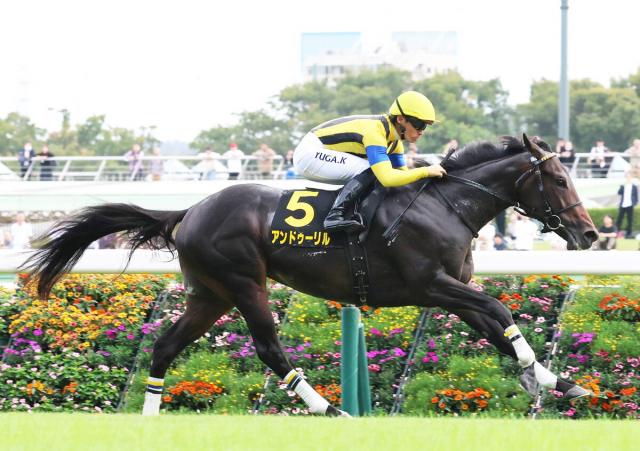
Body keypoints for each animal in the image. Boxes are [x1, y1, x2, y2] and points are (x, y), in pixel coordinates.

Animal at [22, 133, 598, 416]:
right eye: (559, 178)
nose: (590, 234)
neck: (445, 204)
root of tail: (190, 210)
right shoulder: (430, 285)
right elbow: (500, 309)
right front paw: (544, 378)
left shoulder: (450, 292)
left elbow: (500, 329)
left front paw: (558, 382)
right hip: (243, 282)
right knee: (269, 350)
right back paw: (329, 409)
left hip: (209, 294)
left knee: (165, 347)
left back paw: (148, 419)